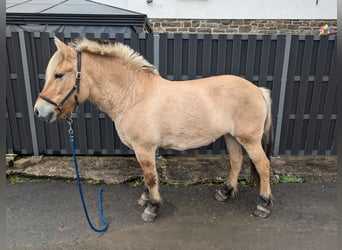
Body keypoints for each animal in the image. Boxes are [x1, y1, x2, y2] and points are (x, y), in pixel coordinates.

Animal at [34, 36, 274, 221]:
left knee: (262, 165)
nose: (39, 111)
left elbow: (150, 177)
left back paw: (263, 204)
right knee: (236, 161)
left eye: (58, 74)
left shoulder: (144, 147)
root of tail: (258, 90)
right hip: (231, 136)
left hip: (249, 139)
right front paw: (146, 198)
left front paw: (152, 207)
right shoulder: (141, 149)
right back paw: (225, 192)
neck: (132, 95)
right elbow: (146, 174)